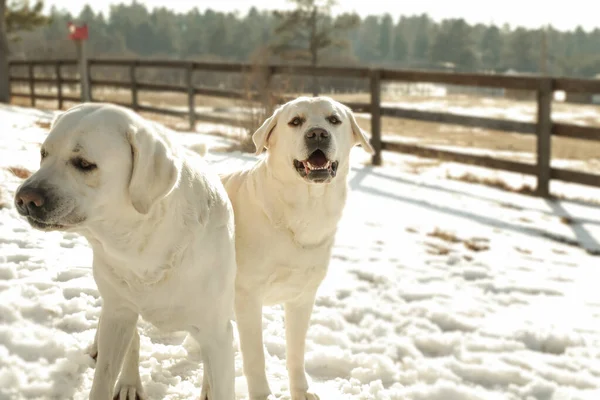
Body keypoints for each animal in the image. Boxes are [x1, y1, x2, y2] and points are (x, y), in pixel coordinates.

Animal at [12, 104, 236, 400]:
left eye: (84, 164)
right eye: (44, 154)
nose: (24, 198)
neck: (140, 247)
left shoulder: (217, 331)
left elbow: (220, 377)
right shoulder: (118, 312)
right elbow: (103, 379)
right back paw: (128, 381)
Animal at [218, 95, 372, 398]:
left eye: (334, 119)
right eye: (295, 121)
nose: (318, 134)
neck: (304, 209)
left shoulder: (303, 297)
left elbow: (296, 352)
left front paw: (300, 391)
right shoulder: (248, 298)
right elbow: (255, 359)